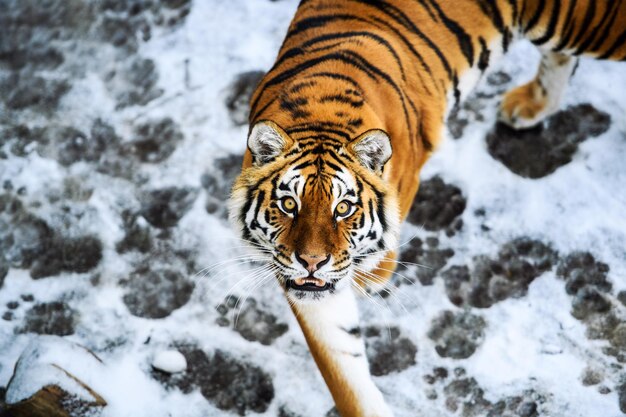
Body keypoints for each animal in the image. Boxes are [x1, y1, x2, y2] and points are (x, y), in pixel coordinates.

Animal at [229, 1, 624, 414]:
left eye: (344, 208)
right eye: (289, 204)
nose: (311, 262)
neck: (319, 116)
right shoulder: (306, 284)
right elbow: (345, 372)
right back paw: (528, 106)